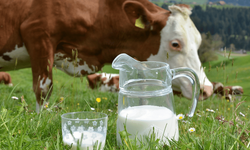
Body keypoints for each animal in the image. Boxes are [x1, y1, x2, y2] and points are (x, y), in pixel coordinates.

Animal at [0, 0, 214, 112]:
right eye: (175, 44)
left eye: (198, 42)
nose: (207, 89)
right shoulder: (37, 33)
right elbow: (43, 88)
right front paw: (39, 118)